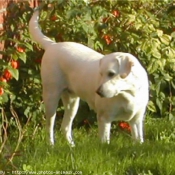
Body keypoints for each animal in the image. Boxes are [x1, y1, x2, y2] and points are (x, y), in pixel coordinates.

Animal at [29, 8, 149, 146]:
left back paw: (71, 146)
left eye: (111, 74)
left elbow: (139, 141)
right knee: (50, 125)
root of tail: (53, 45)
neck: (129, 92)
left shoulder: (137, 120)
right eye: (101, 74)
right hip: (51, 97)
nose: (98, 92)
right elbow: (105, 142)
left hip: (72, 102)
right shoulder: (105, 118)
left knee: (65, 126)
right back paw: (51, 145)